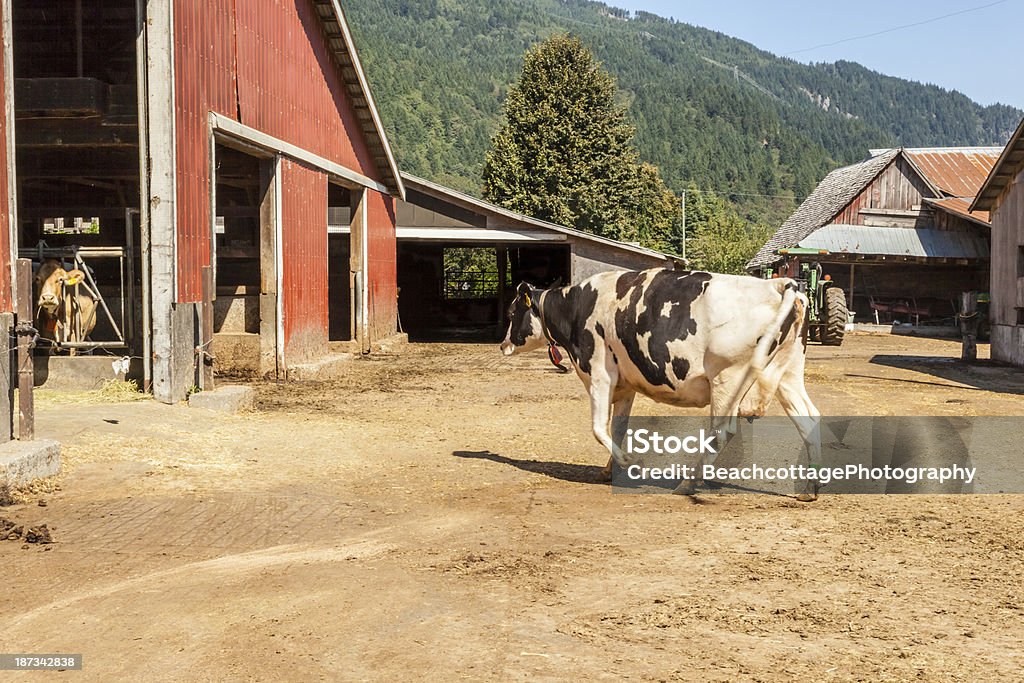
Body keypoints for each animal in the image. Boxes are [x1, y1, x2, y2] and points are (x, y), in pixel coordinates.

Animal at [497, 268, 823, 501]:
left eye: (512, 313)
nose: (502, 345)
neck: (577, 307)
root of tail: (779, 285)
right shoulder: (625, 385)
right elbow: (618, 427)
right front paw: (609, 470)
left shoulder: (600, 374)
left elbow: (599, 428)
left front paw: (630, 463)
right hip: (788, 376)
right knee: (810, 420)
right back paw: (811, 489)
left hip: (727, 378)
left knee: (722, 431)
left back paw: (687, 484)